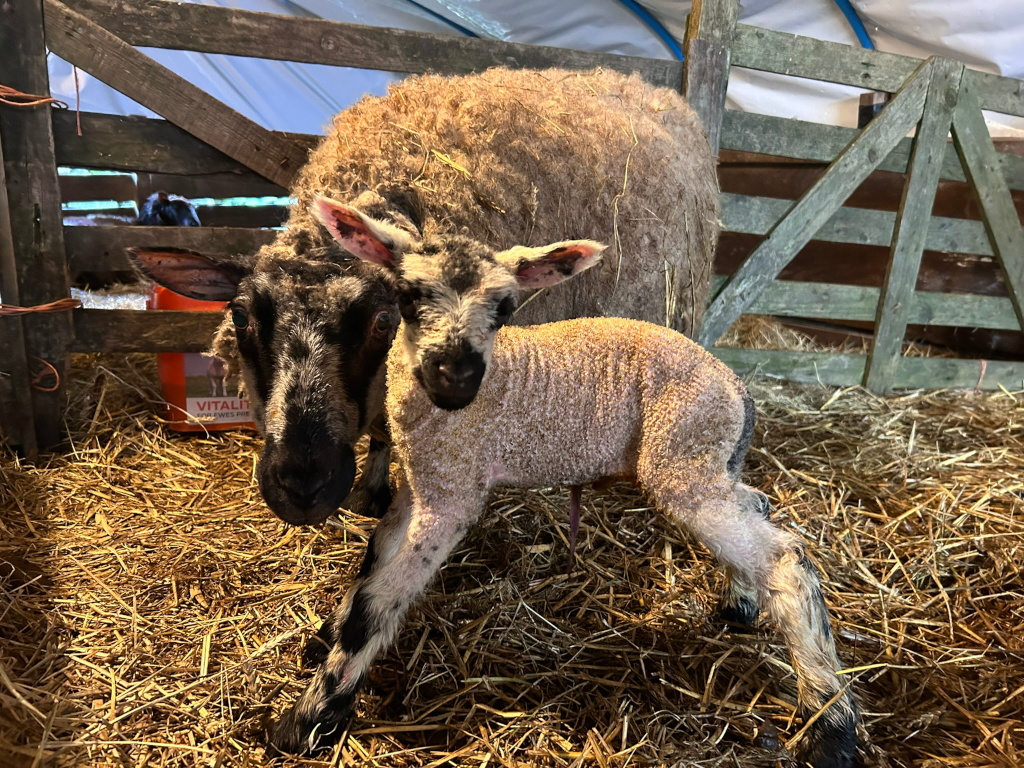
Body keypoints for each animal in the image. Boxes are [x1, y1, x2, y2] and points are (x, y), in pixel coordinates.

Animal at [265, 198, 860, 768]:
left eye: (505, 309)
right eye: (408, 298)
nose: (456, 379)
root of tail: (737, 387)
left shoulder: (451, 493)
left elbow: (378, 602)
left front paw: (307, 720)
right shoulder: (421, 481)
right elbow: (375, 554)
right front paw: (327, 634)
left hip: (682, 453)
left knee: (786, 559)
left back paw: (832, 731)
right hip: (707, 460)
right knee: (756, 507)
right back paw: (741, 604)